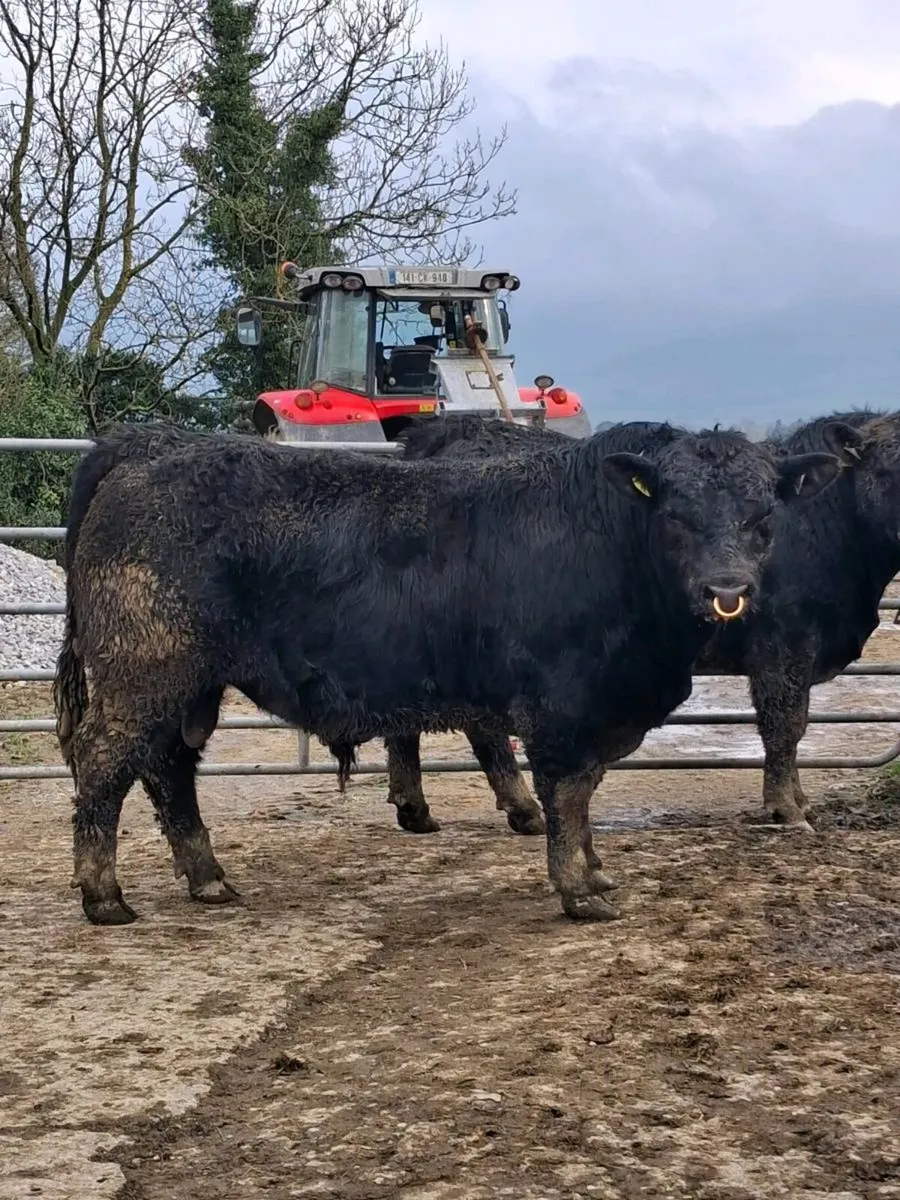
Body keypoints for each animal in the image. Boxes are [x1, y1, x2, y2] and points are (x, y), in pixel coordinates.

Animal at [55, 421, 840, 926]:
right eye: (677, 513)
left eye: (763, 515)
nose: (727, 588)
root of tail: (151, 447)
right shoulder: (564, 706)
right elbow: (568, 794)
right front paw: (579, 890)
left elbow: (584, 794)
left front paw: (594, 871)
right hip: (145, 670)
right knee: (103, 764)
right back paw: (104, 897)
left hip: (186, 683)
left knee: (169, 770)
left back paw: (208, 879)